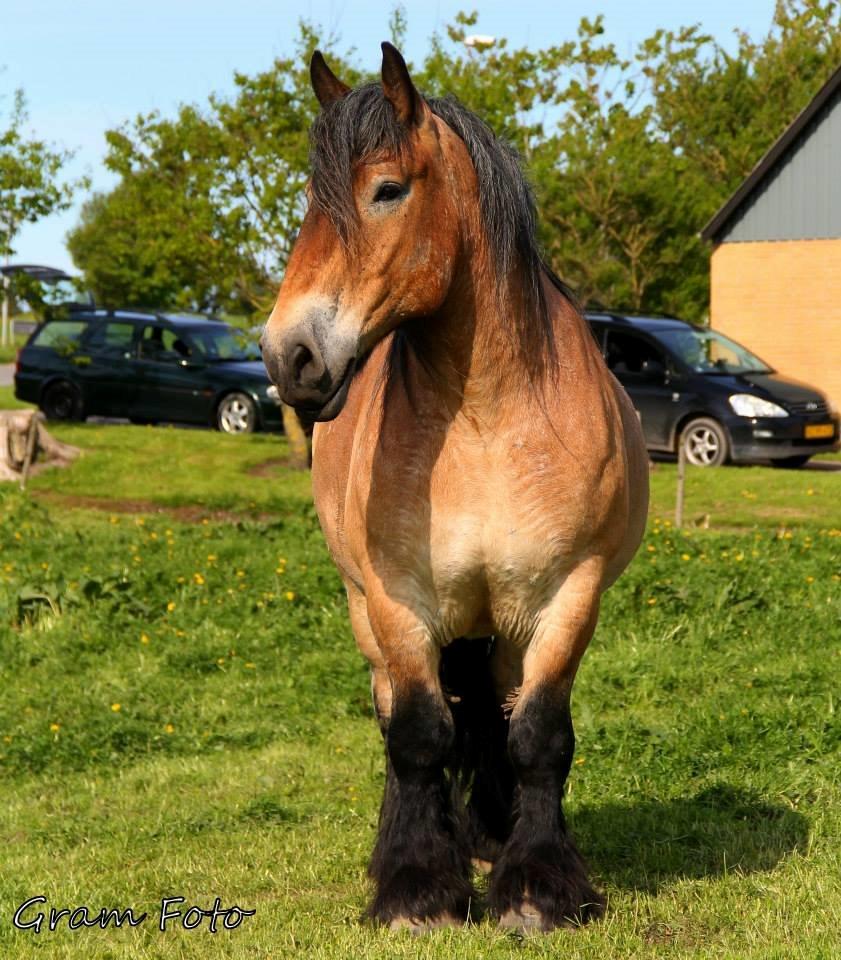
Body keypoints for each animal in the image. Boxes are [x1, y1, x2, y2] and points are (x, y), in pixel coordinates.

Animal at [264, 43, 648, 928]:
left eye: (386, 190)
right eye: (309, 200)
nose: (287, 357)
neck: (483, 420)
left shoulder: (565, 598)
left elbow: (538, 736)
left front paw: (538, 885)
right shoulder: (396, 602)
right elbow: (415, 736)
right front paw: (415, 887)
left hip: (502, 629)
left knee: (498, 717)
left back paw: (491, 837)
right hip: (370, 615)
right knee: (401, 722)